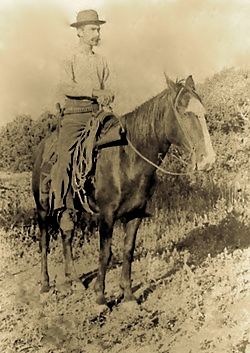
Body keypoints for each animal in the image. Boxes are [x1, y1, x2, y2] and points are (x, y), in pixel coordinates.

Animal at [31, 75, 215, 304]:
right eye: (183, 112)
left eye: (203, 112)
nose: (208, 160)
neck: (127, 158)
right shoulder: (107, 215)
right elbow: (105, 253)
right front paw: (100, 297)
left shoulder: (135, 213)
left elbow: (128, 250)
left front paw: (127, 296)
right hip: (43, 208)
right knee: (45, 242)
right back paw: (45, 285)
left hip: (71, 207)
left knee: (67, 236)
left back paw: (72, 280)